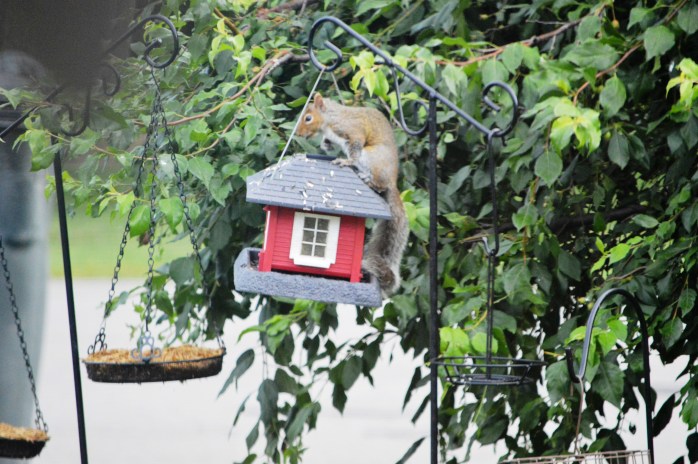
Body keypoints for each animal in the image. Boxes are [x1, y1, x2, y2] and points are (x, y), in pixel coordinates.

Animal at [297, 93, 409, 297]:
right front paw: (325, 144)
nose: (299, 134)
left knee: (378, 183)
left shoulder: (352, 130)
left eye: (308, 118)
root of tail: (392, 183)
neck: (330, 120)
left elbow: (355, 147)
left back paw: (366, 178)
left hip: (371, 157)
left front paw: (346, 161)